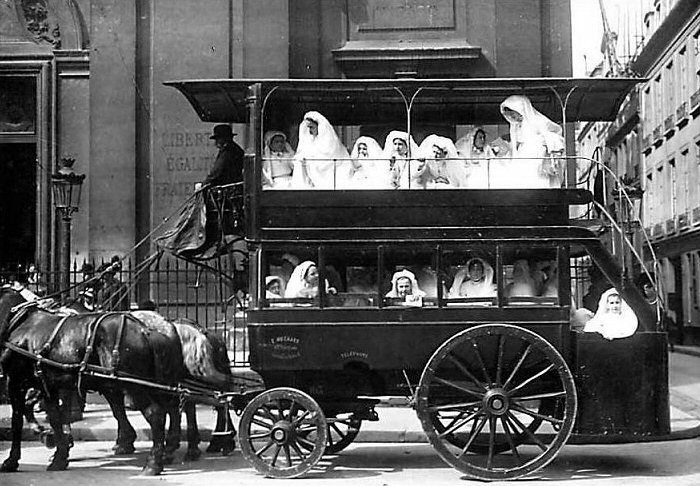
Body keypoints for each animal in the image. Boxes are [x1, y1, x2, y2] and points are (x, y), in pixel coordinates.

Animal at [0, 288, 186, 474]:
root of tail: (146, 331)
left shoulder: (15, 381)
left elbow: (18, 419)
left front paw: (12, 460)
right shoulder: (48, 385)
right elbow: (55, 417)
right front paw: (59, 454)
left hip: (133, 386)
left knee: (156, 413)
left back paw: (153, 462)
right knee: (170, 407)